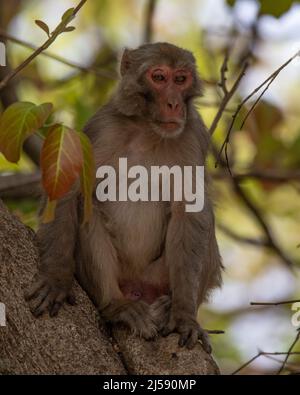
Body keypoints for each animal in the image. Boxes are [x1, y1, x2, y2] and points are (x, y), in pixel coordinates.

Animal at [25, 43, 223, 352]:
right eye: (159, 77)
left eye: (181, 79)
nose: (174, 104)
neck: (147, 128)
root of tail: (137, 287)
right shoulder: (102, 127)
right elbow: (70, 188)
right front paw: (56, 277)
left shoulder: (193, 136)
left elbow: (190, 209)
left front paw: (184, 315)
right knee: (87, 210)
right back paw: (117, 306)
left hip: (157, 275)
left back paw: (167, 305)